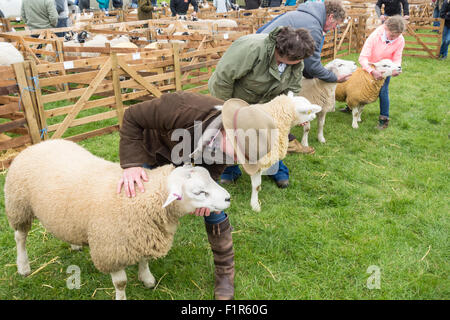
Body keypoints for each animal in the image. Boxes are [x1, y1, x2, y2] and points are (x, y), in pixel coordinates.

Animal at [6, 139, 232, 300]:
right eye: (199, 192)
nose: (228, 198)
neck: (141, 198)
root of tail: (38, 144)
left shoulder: (141, 235)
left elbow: (144, 260)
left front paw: (147, 279)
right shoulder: (111, 250)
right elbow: (121, 283)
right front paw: (122, 295)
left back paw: (74, 245)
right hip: (19, 206)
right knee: (20, 237)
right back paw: (23, 266)